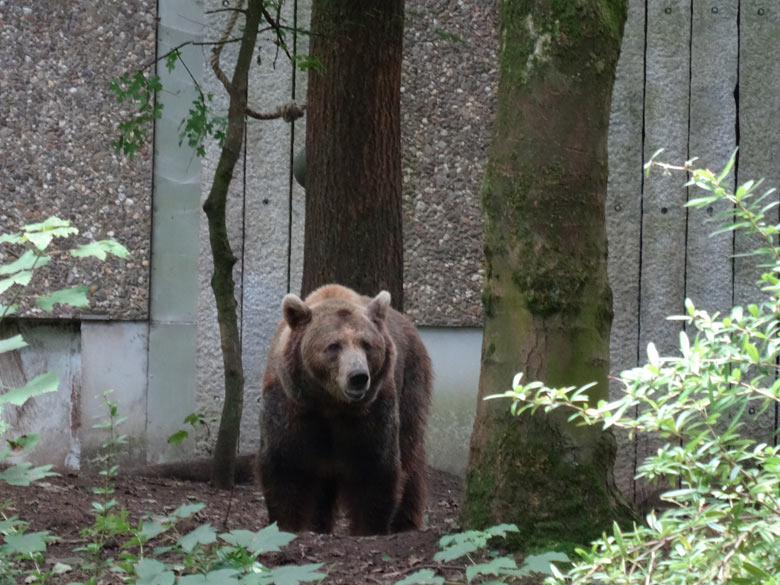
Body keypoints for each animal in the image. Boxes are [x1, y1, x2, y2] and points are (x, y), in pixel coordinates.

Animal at [260, 282, 432, 532]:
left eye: (366, 344)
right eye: (333, 345)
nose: (358, 377)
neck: (330, 404)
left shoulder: (372, 414)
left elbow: (374, 473)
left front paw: (369, 528)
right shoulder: (292, 408)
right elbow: (286, 471)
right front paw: (287, 524)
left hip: (411, 384)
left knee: (410, 457)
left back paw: (405, 522)